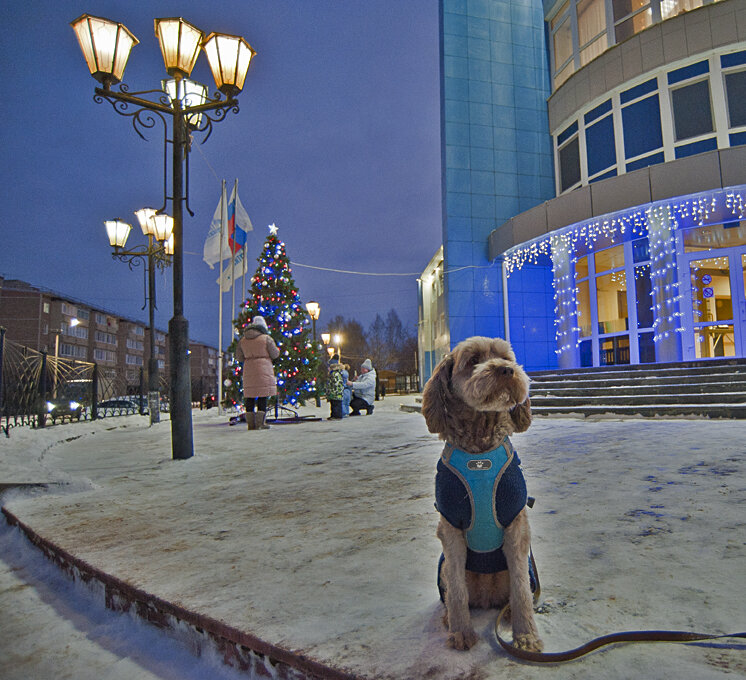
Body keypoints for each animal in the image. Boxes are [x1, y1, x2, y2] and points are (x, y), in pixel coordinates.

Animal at [418, 338, 540, 652]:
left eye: (506, 357)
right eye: (473, 360)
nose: (507, 370)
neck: (480, 448)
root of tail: (487, 596)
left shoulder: (516, 526)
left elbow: (521, 590)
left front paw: (525, 636)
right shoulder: (450, 529)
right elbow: (457, 591)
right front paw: (461, 632)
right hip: (442, 567)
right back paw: (450, 618)